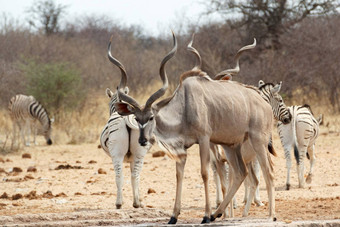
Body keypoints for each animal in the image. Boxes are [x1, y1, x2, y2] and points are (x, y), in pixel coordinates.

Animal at [99, 37, 151, 209]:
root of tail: (126, 118)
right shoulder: (133, 156)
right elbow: (134, 176)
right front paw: (139, 200)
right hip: (139, 153)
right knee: (135, 175)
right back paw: (136, 203)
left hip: (117, 154)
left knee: (119, 175)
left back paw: (119, 203)